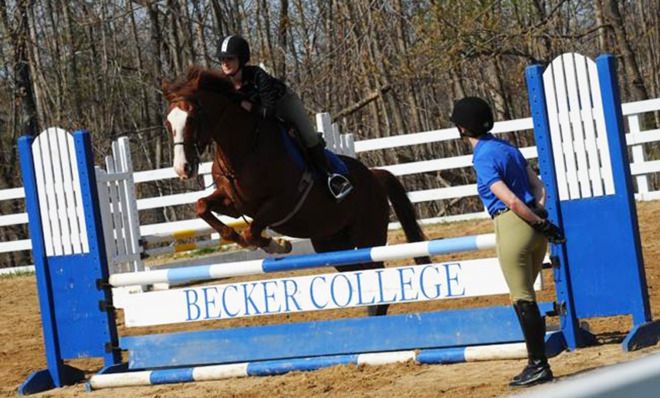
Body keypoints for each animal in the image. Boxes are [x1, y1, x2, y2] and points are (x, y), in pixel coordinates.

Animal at [160, 66, 428, 314]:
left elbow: (251, 231)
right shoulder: (234, 204)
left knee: (374, 274)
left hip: (366, 236)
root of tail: (374, 175)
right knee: (358, 274)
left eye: (192, 118)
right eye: (168, 122)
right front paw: (259, 242)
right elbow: (203, 207)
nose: (183, 168)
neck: (244, 148)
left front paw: (276, 245)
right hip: (330, 243)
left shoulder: (283, 203)